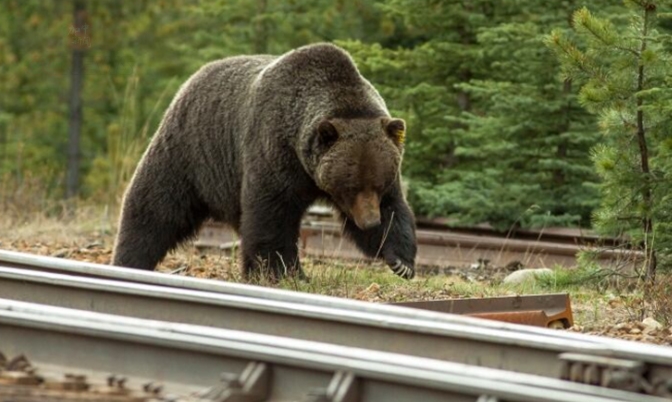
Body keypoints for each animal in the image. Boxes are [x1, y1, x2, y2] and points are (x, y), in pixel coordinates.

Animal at [111, 41, 414, 280]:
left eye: (377, 184)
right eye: (350, 186)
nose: (370, 222)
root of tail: (193, 78)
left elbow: (395, 208)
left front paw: (401, 261)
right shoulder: (273, 148)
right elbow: (271, 214)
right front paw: (281, 272)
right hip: (190, 150)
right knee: (155, 206)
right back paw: (129, 260)